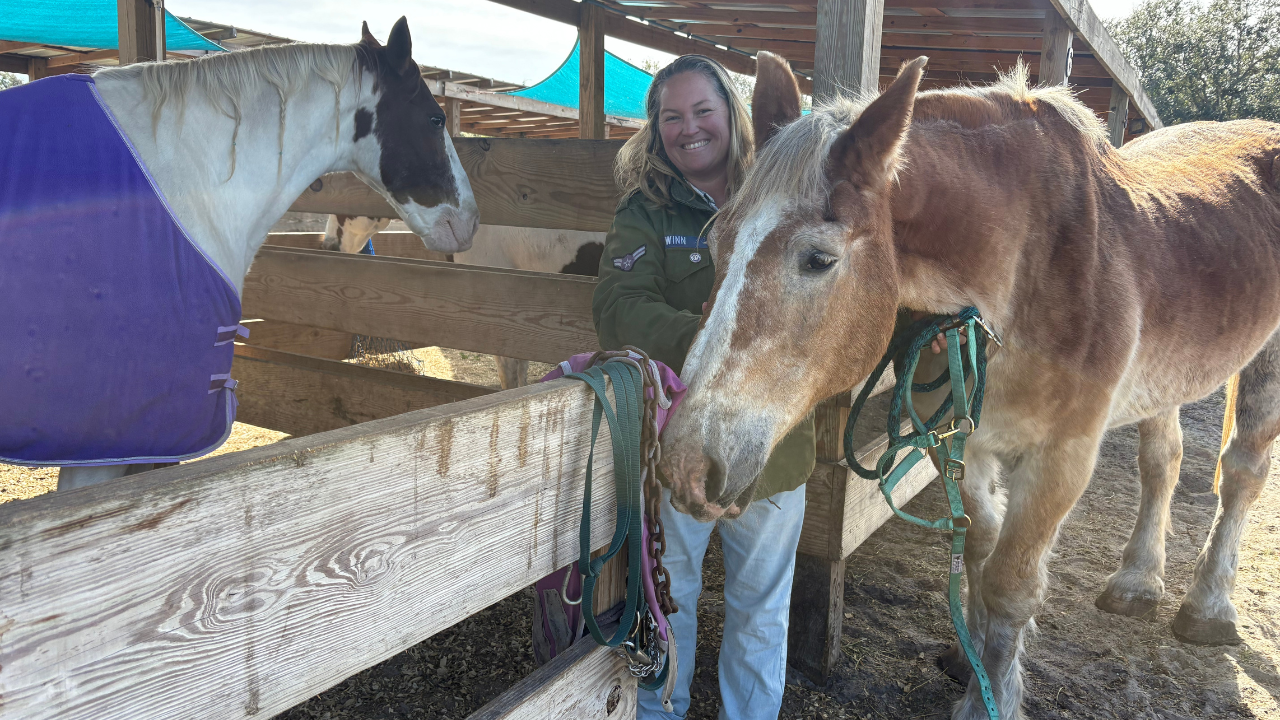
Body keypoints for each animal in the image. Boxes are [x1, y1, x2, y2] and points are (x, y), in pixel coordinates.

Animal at [656, 51, 1280, 719]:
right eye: (714, 241)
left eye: (818, 259)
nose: (684, 463)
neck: (1028, 269)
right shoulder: (960, 437)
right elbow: (980, 546)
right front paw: (971, 660)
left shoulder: (1062, 456)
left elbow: (1010, 583)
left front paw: (990, 698)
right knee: (1163, 460)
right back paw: (1137, 584)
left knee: (1241, 475)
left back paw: (1208, 608)